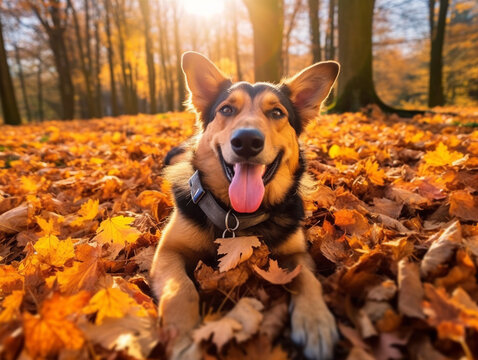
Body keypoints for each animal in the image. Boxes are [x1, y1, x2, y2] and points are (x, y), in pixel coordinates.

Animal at [150, 51, 340, 360]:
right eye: (227, 110)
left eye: (277, 113)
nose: (247, 141)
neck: (238, 216)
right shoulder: (168, 252)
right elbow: (181, 289)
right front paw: (185, 339)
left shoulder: (297, 253)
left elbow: (307, 279)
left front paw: (316, 320)